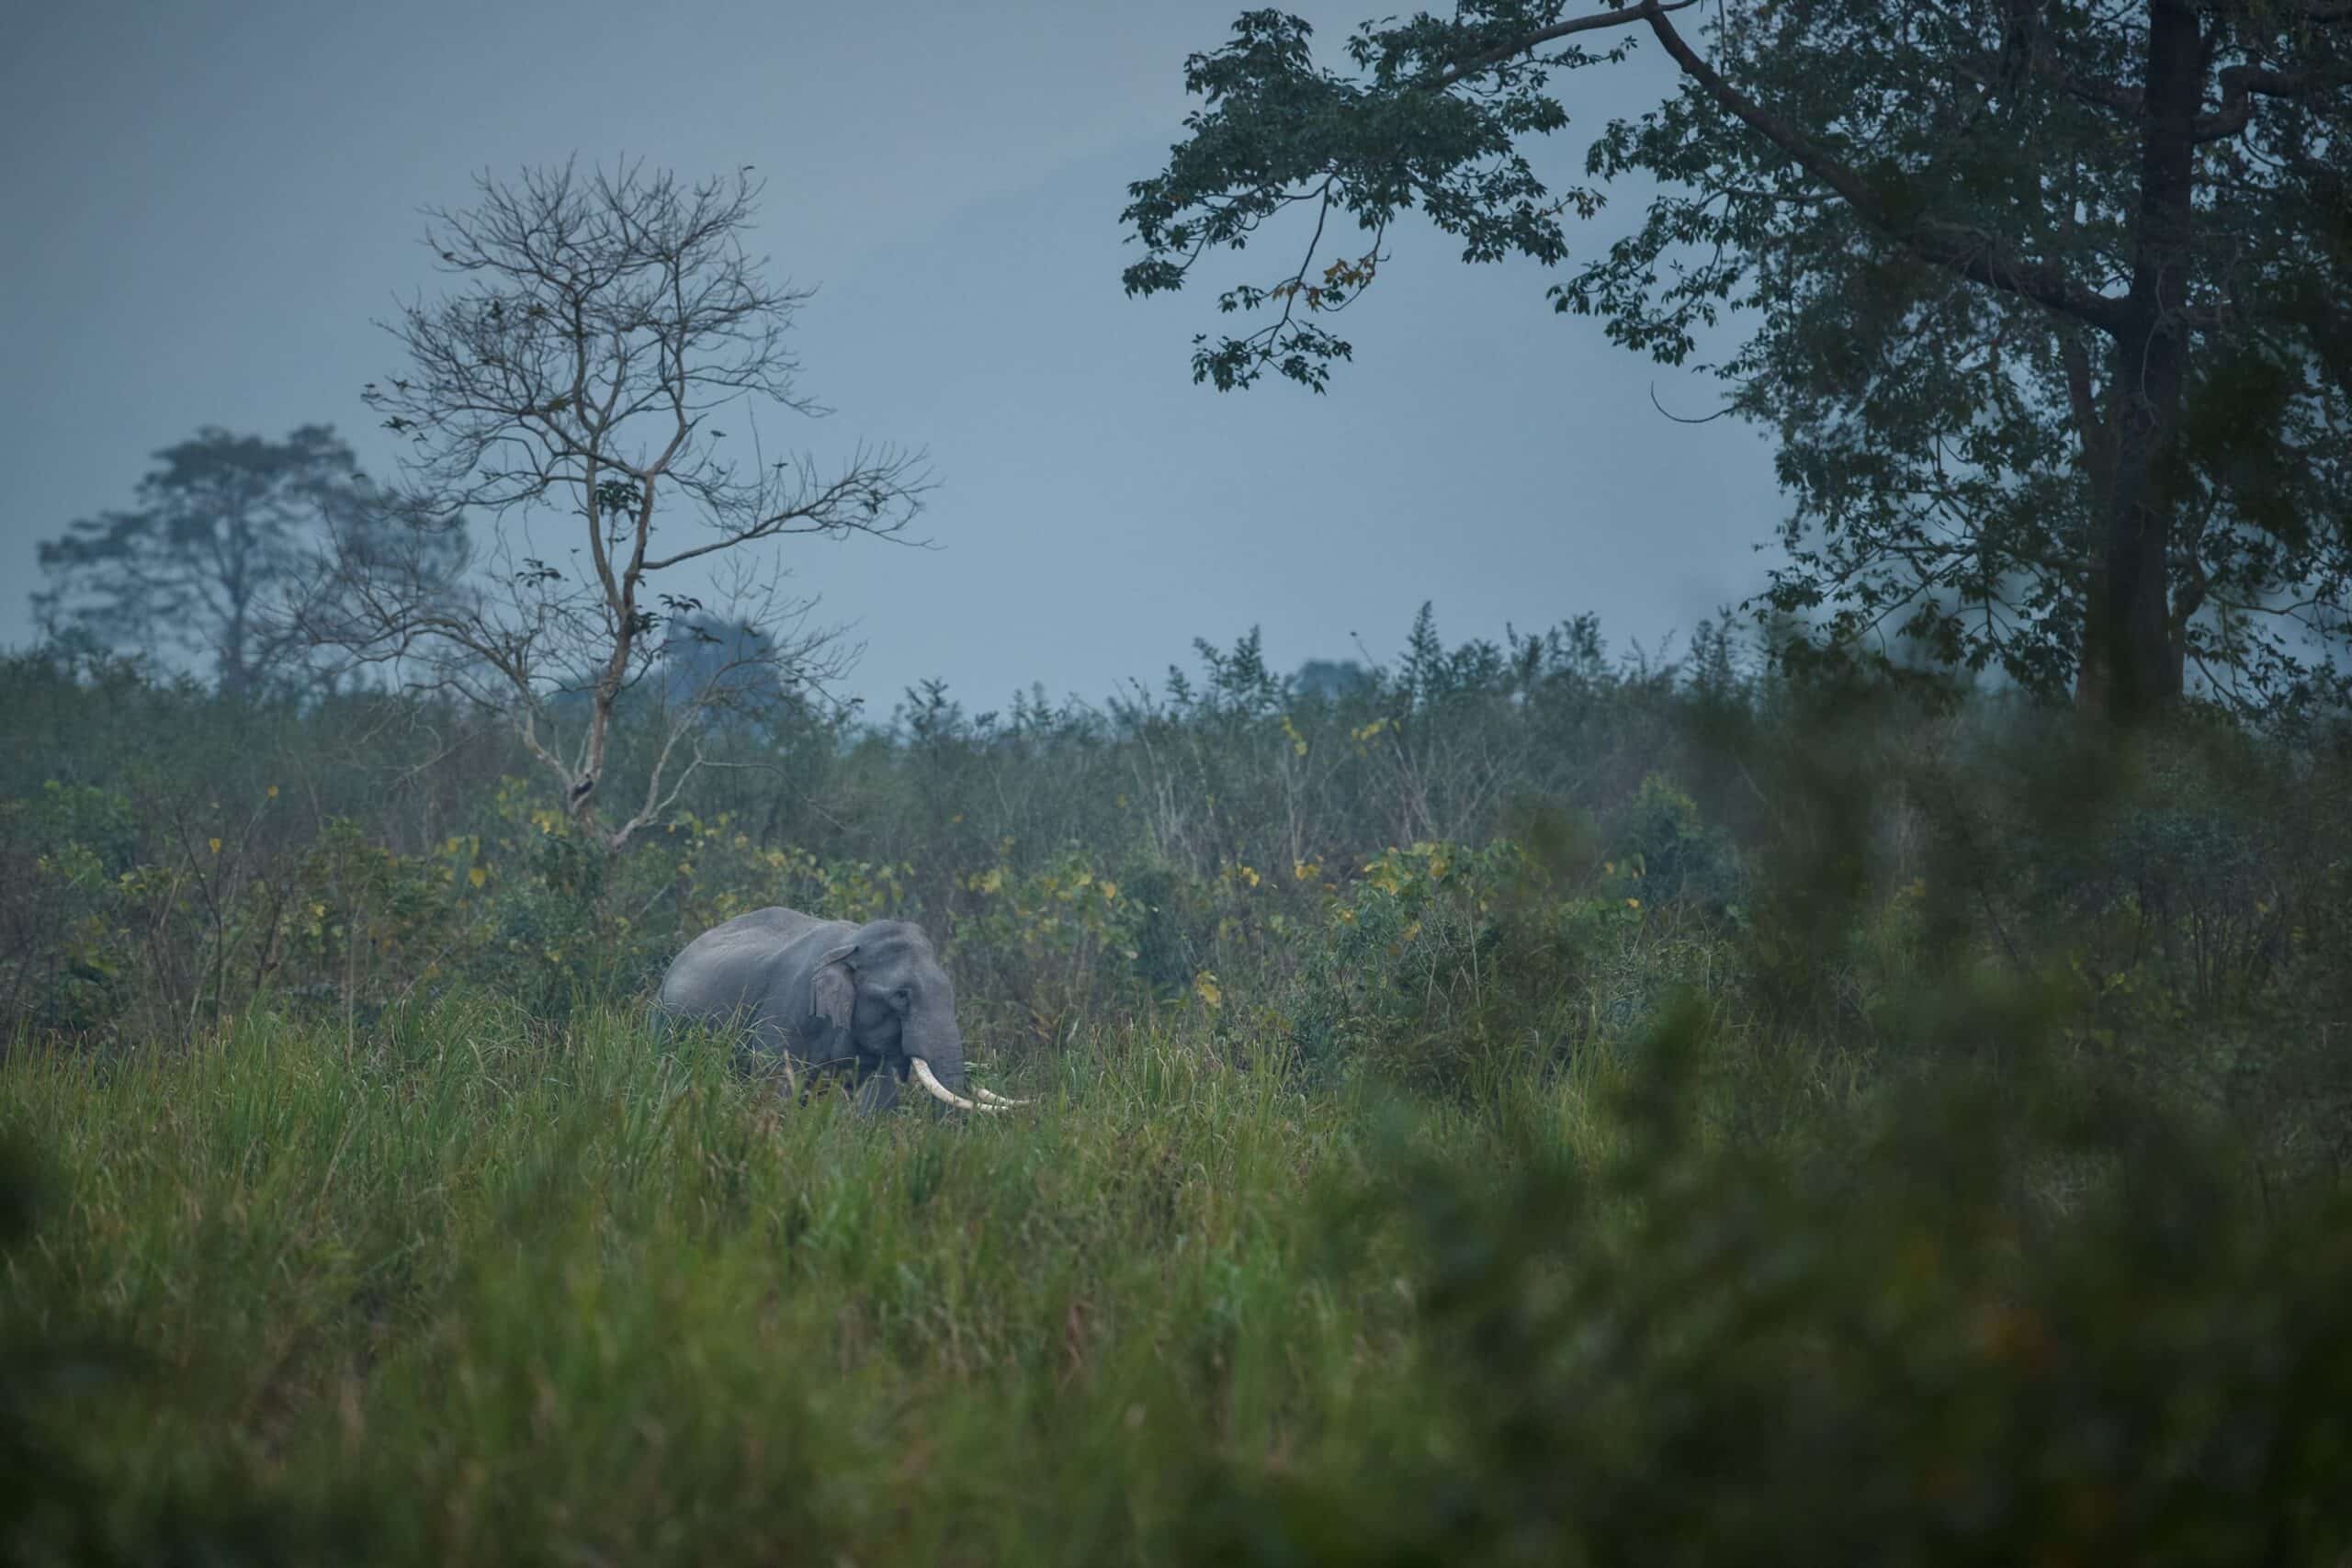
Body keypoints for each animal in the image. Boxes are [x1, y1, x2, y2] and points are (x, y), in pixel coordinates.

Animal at [655, 907, 1026, 1115]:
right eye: (901, 995)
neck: (853, 942)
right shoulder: (787, 1012)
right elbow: (778, 1085)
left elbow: (877, 1098)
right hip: (662, 1022)